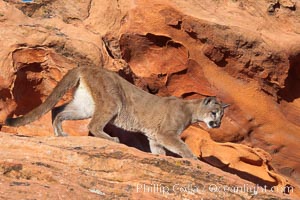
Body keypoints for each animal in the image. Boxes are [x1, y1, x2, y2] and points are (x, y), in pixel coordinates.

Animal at [5, 67, 229, 159]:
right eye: (214, 113)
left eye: (222, 116)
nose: (218, 124)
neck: (191, 110)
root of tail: (85, 66)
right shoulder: (166, 133)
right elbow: (181, 146)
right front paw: (193, 159)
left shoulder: (155, 137)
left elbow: (159, 151)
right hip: (113, 103)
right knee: (93, 125)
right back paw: (112, 139)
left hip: (85, 105)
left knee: (58, 109)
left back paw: (59, 133)